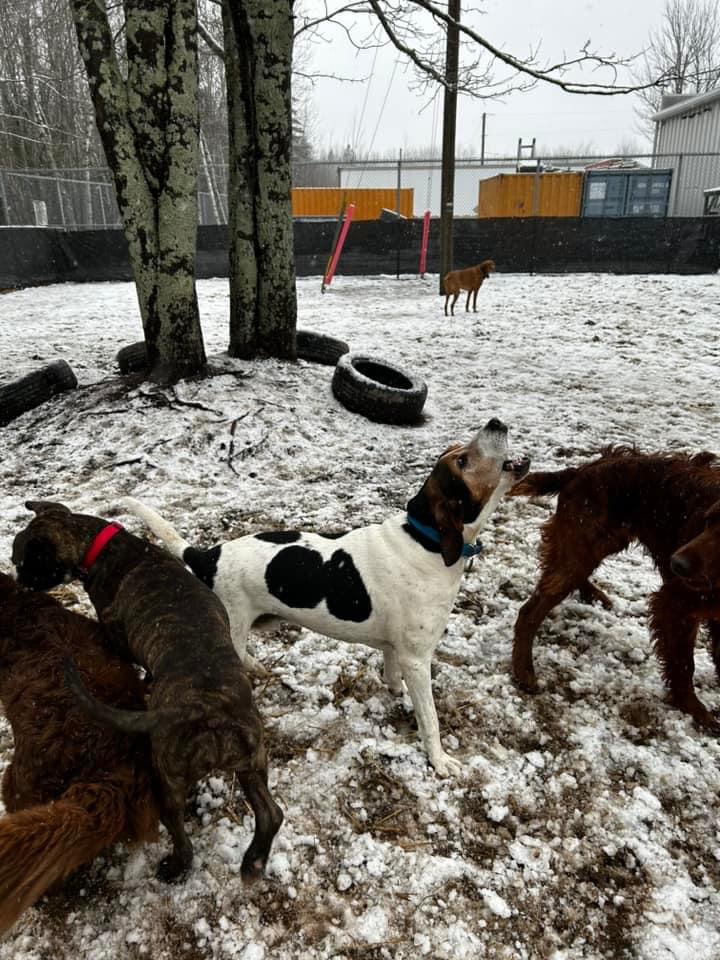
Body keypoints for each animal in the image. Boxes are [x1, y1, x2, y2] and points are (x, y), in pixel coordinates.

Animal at [13, 502, 284, 884]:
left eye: (24, 562)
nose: (19, 581)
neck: (100, 544)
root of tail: (209, 710)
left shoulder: (115, 635)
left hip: (168, 778)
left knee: (179, 832)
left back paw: (175, 866)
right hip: (251, 762)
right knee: (271, 813)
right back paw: (254, 861)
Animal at [122, 416, 528, 776]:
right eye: (462, 461)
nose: (495, 421)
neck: (425, 539)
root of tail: (208, 555)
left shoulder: (396, 650)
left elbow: (392, 676)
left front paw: (395, 694)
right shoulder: (417, 659)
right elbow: (430, 719)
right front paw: (439, 761)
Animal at [510, 446, 720, 732]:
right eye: (708, 521)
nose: (676, 564)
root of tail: (584, 468)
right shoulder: (675, 601)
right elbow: (684, 663)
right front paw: (694, 708)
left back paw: (593, 594)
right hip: (586, 540)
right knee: (530, 611)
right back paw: (523, 671)